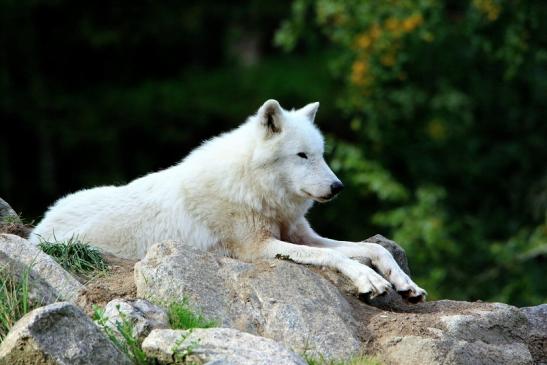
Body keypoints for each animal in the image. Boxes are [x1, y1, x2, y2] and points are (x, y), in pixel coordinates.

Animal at [31, 100, 428, 302]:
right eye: (301, 156)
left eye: (320, 154)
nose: (337, 186)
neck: (253, 186)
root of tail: (38, 227)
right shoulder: (259, 248)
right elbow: (337, 257)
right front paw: (368, 280)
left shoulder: (302, 235)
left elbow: (373, 248)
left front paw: (405, 283)